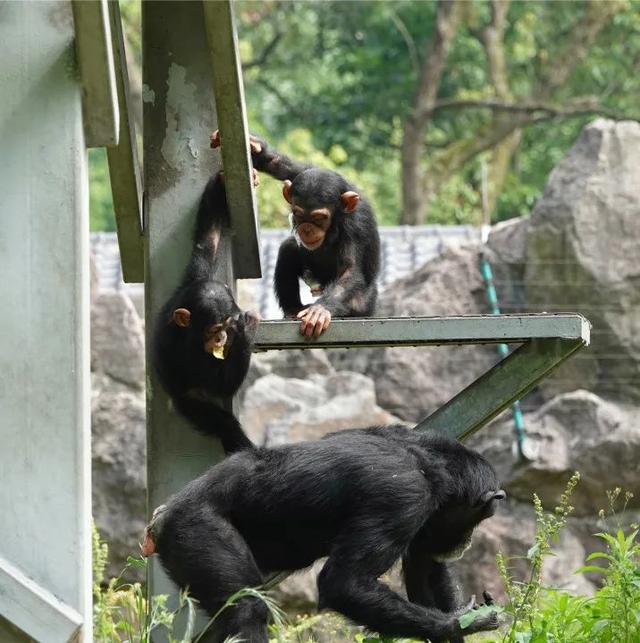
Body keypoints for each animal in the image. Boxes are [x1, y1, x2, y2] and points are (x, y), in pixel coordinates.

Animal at [144, 428, 504, 643]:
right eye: (477, 518)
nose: (467, 541)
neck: (428, 463)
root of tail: (159, 520)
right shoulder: (403, 498)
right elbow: (345, 583)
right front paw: (463, 621)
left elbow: (425, 566)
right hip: (196, 531)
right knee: (247, 610)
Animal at [152, 171, 260, 452]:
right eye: (214, 329)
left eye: (226, 326)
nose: (222, 338)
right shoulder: (187, 350)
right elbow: (221, 386)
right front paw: (246, 330)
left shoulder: (195, 277)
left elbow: (207, 239)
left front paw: (221, 183)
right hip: (188, 405)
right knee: (222, 422)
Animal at [212, 130, 380, 338]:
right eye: (299, 214)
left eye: (319, 218)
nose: (307, 228)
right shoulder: (304, 172)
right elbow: (284, 167)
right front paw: (255, 145)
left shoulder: (356, 225)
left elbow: (350, 270)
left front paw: (320, 310)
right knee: (289, 248)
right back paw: (294, 309)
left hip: (364, 304)